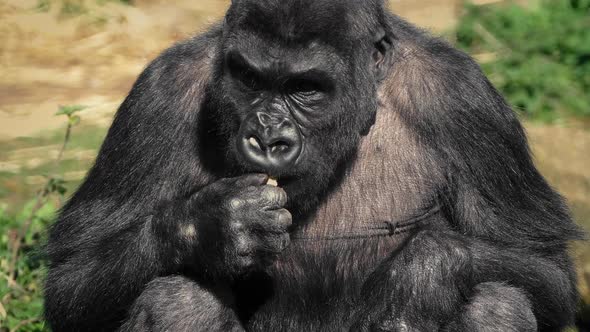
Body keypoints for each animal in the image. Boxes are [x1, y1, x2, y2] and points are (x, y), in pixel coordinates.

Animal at [45, 1, 584, 330]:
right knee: (177, 299)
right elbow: (73, 276)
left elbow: (545, 265)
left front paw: (422, 274)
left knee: (499, 302)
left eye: (305, 88)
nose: (267, 138)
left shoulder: (466, 102)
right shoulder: (159, 95)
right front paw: (213, 226)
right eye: (248, 77)